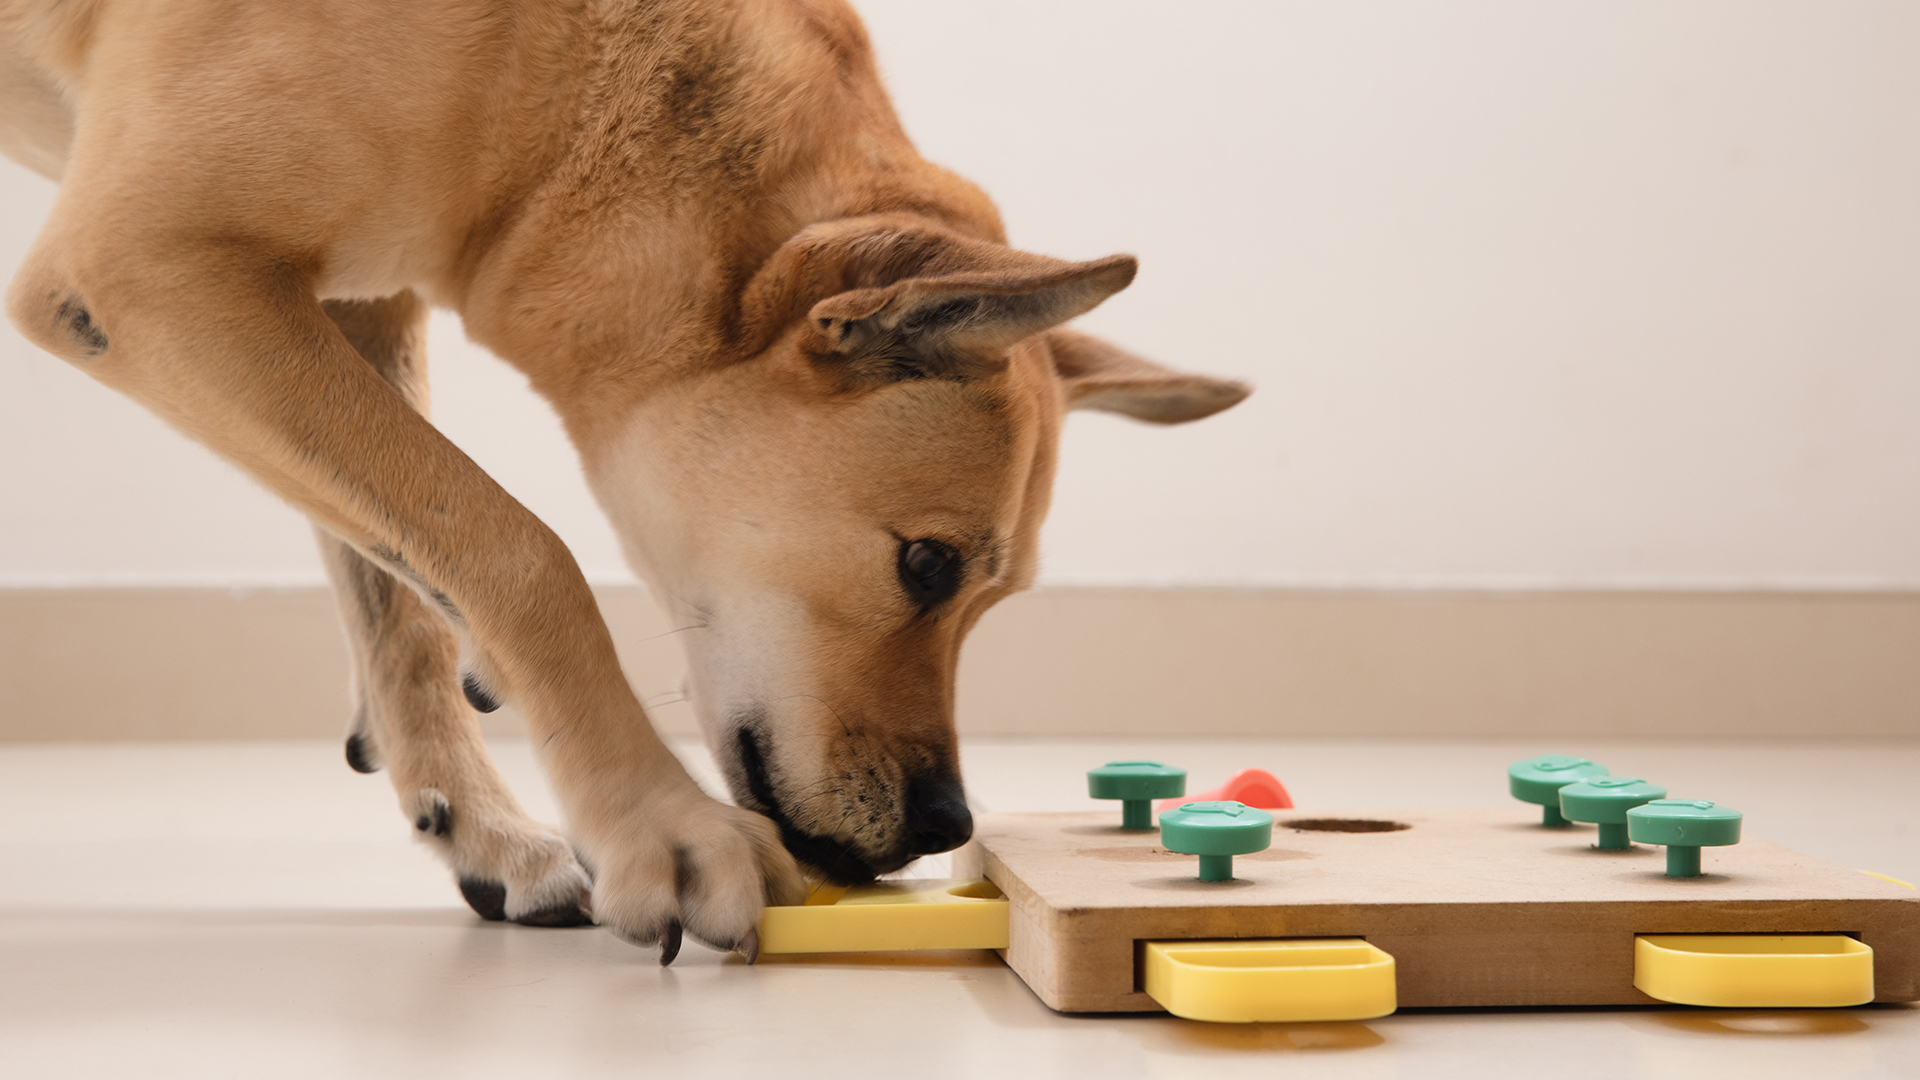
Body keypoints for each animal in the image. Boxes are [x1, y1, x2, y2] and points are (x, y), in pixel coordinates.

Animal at [0, 0, 1251, 957]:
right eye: (928, 565)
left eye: (991, 595)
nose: (948, 824)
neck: (549, 83)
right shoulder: (150, 269)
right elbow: (517, 547)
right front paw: (660, 825)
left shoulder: (342, 299)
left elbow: (400, 597)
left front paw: (478, 827)